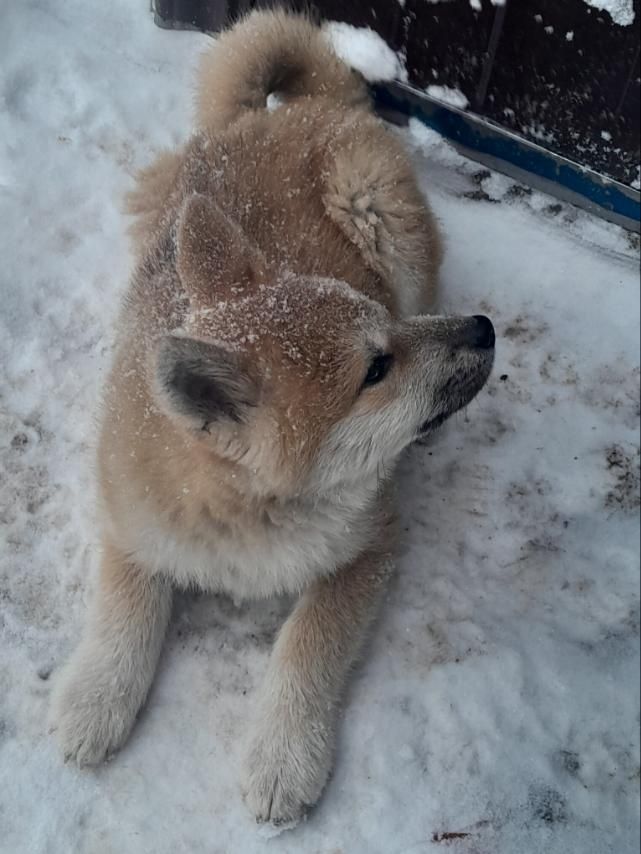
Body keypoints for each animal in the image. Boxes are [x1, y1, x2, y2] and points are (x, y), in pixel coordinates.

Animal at [50, 8, 496, 828]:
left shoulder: (368, 547)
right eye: (374, 370)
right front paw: (97, 694)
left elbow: (306, 646)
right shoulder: (133, 520)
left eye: (382, 327)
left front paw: (285, 754)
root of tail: (293, 109)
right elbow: (124, 606)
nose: (483, 330)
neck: (252, 515)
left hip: (376, 209)